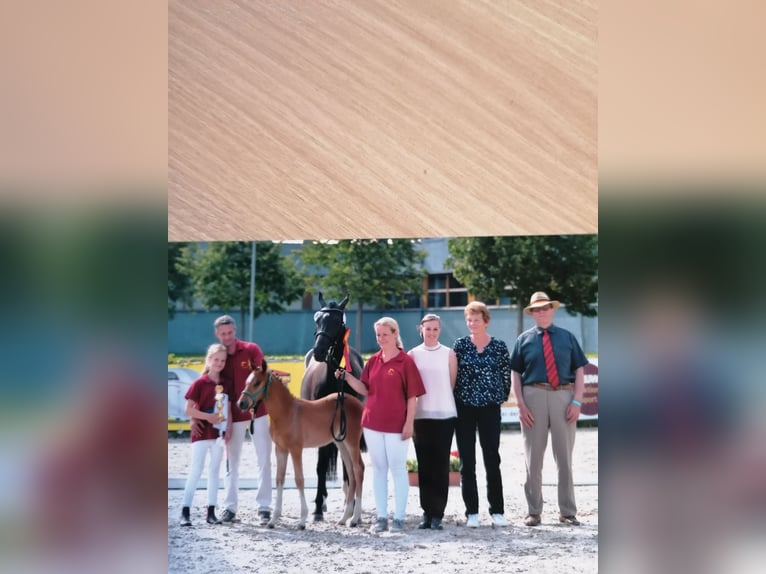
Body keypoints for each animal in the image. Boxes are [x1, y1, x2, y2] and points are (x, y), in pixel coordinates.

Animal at [240, 360, 366, 532]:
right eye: (247, 381)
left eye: (257, 382)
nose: (241, 403)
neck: (286, 412)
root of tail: (358, 404)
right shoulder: (280, 449)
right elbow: (279, 479)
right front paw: (273, 520)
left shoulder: (296, 449)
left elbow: (299, 480)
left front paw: (302, 521)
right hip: (341, 443)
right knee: (351, 473)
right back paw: (344, 518)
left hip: (352, 442)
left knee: (359, 469)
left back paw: (354, 518)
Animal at [300, 294, 366, 524]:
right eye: (317, 319)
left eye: (337, 322)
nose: (320, 351)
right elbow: (321, 466)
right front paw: (318, 508)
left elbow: (349, 468)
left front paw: (351, 505)